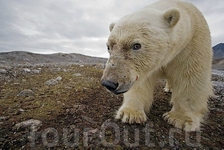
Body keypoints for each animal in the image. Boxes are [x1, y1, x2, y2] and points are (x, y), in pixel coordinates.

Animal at [100, 0, 213, 131]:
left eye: (136, 45)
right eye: (109, 47)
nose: (109, 83)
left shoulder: (192, 46)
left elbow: (190, 78)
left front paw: (179, 119)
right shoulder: (146, 67)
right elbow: (142, 82)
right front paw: (130, 114)